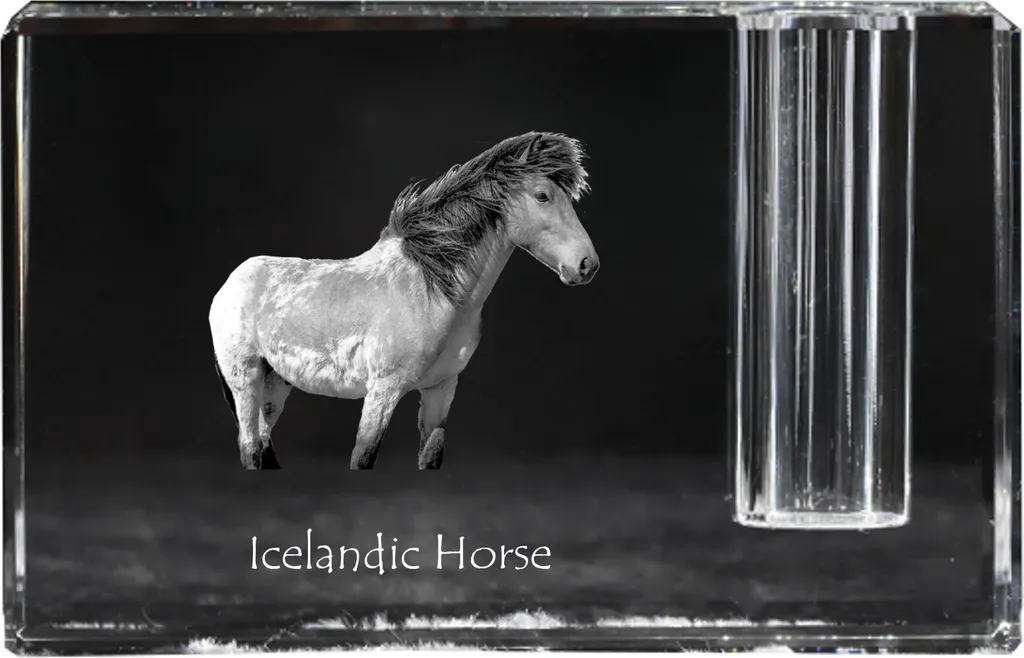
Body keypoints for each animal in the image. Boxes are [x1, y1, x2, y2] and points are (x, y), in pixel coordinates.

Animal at [209, 131, 599, 470]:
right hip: (245, 376)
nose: (587, 264)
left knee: (262, 442)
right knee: (251, 446)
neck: (430, 289)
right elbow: (363, 457)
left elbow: (431, 456)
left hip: (275, 382)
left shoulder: (441, 389)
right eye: (542, 195)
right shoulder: (383, 390)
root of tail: (230, 283)